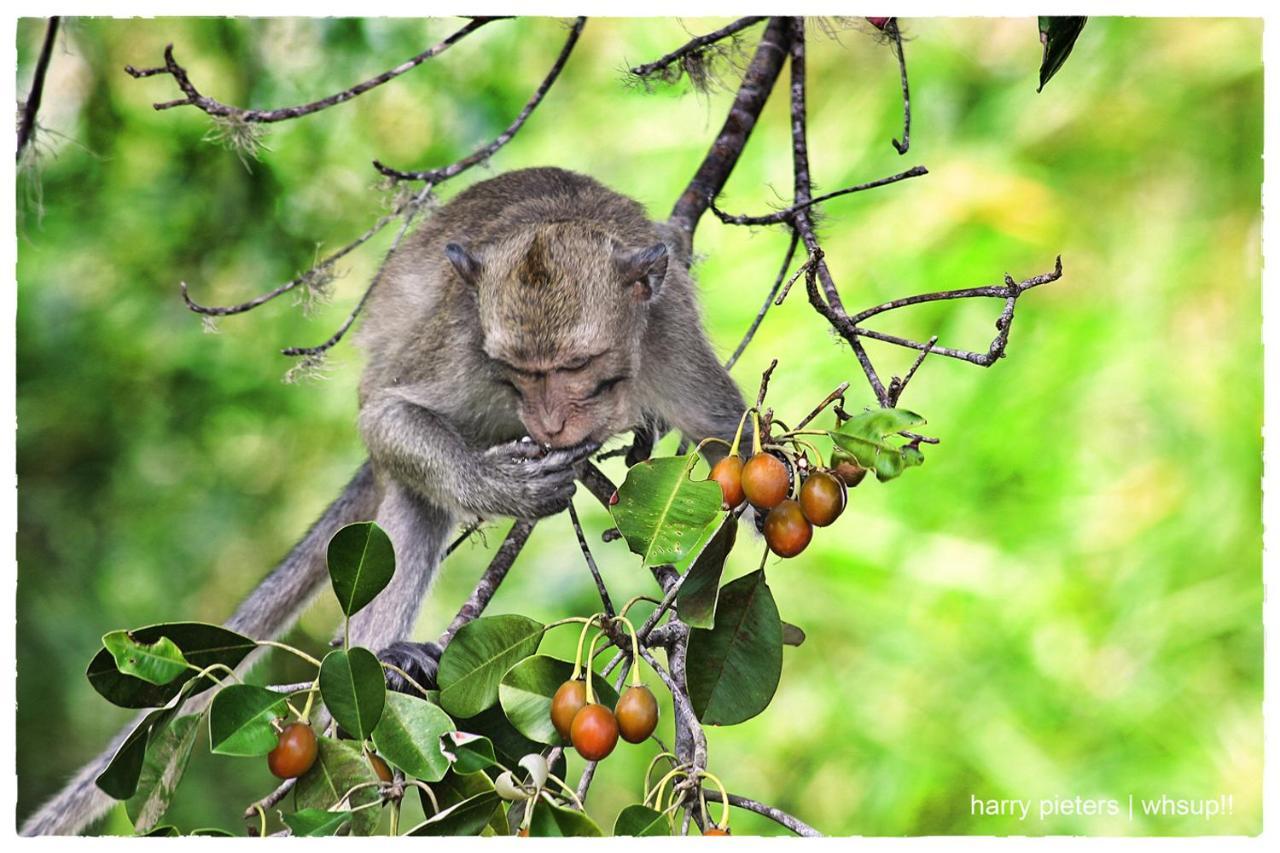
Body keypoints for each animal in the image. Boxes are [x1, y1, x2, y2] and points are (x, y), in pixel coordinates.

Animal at [22, 163, 747, 829]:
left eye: (574, 366)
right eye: (516, 372)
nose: (546, 423)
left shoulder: (669, 338)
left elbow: (730, 437)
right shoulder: (465, 347)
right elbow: (387, 414)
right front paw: (500, 489)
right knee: (411, 489)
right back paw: (382, 662)